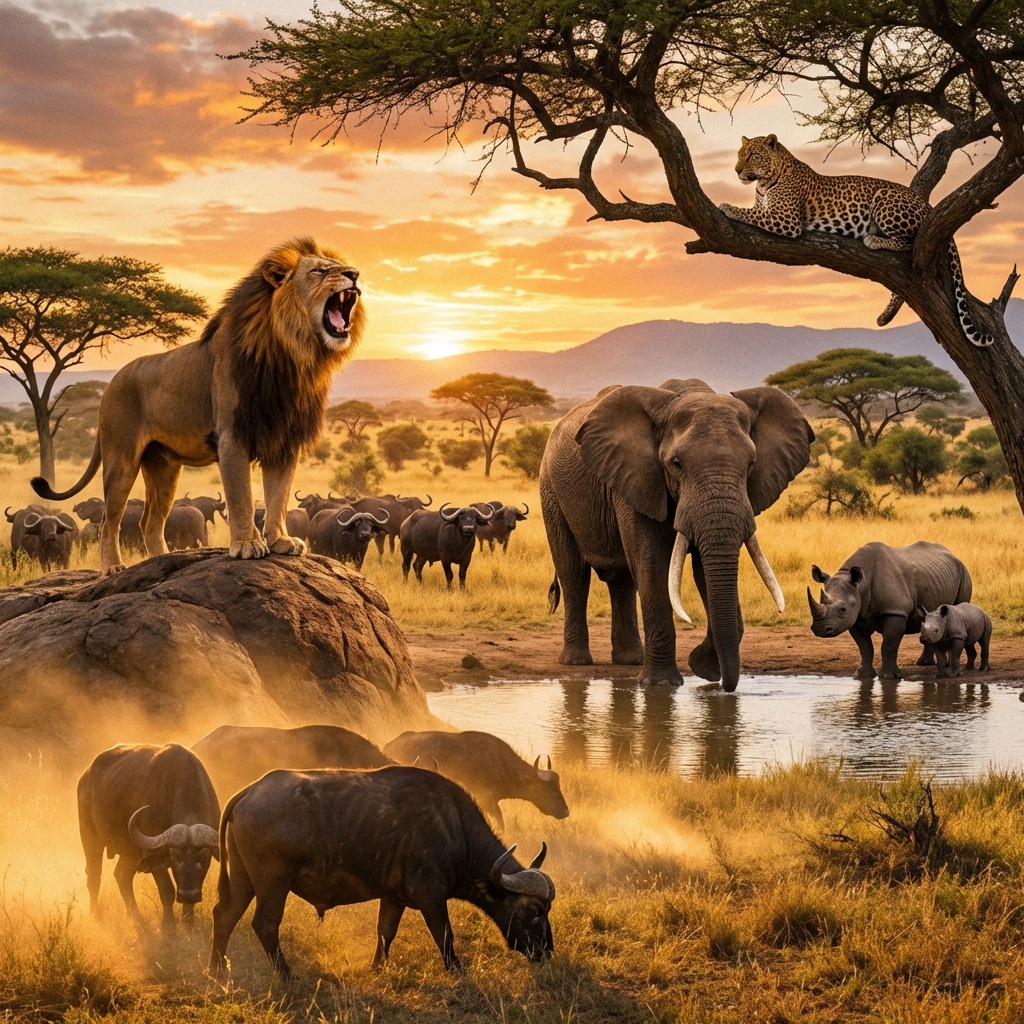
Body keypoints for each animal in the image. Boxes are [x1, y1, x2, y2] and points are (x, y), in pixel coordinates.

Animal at [540, 378, 813, 690]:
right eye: (676, 464)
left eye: (751, 464)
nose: (727, 688)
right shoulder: (639, 478)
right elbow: (652, 564)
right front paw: (661, 684)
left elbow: (704, 570)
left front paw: (704, 668)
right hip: (551, 493)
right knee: (573, 573)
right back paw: (576, 661)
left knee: (622, 582)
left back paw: (630, 660)